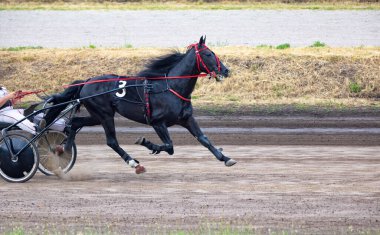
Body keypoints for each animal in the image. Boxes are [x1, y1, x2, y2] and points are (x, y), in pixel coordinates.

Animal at [43, 36, 235, 173]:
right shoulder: (158, 122)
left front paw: (225, 158)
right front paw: (147, 143)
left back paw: (64, 149)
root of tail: (87, 81)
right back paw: (133, 163)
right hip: (104, 114)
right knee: (111, 141)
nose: (226, 70)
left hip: (97, 115)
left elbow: (204, 139)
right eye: (209, 54)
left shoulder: (187, 118)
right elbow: (169, 146)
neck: (172, 87)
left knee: (75, 123)